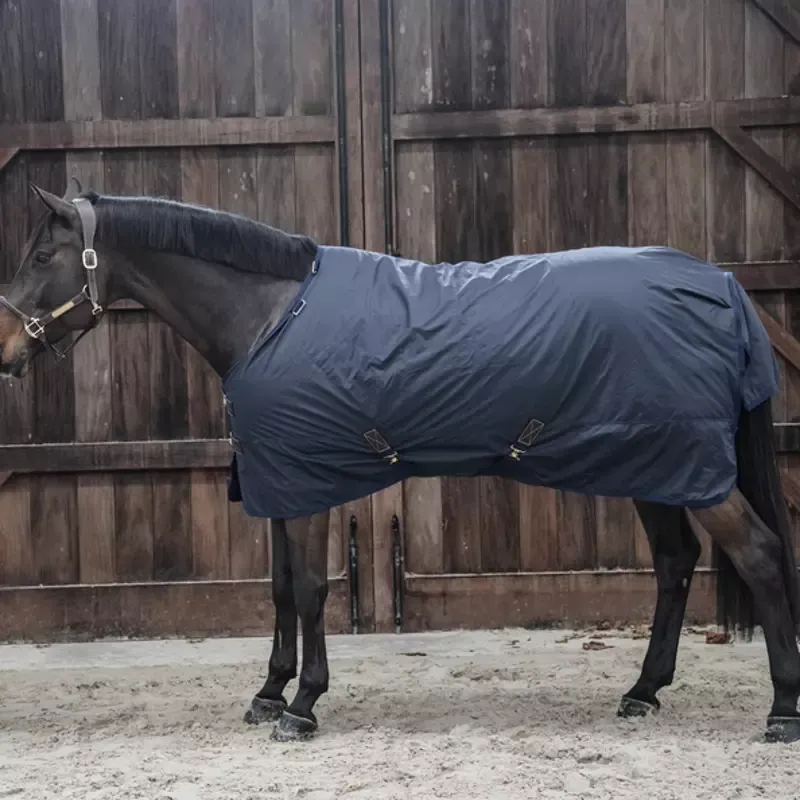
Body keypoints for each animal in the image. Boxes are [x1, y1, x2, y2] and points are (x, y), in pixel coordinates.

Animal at [2, 180, 799, 746]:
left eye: (42, 257)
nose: (6, 352)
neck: (270, 315)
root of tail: (723, 288)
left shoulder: (308, 481)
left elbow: (310, 590)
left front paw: (302, 706)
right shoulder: (275, 481)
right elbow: (280, 590)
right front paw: (268, 694)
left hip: (690, 470)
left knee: (761, 555)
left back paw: (782, 710)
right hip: (654, 465)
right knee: (675, 563)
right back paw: (642, 692)